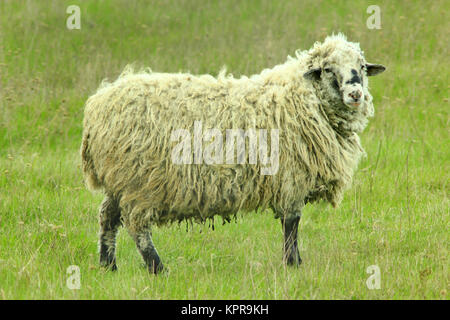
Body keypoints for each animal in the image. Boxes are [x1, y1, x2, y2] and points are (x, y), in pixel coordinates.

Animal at [81, 33, 386, 272]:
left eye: (361, 66)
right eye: (327, 69)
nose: (355, 93)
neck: (302, 98)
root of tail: (97, 106)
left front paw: (294, 263)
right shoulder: (292, 178)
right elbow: (292, 223)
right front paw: (293, 264)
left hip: (120, 179)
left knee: (107, 217)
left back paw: (108, 265)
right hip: (140, 180)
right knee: (137, 226)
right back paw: (158, 268)